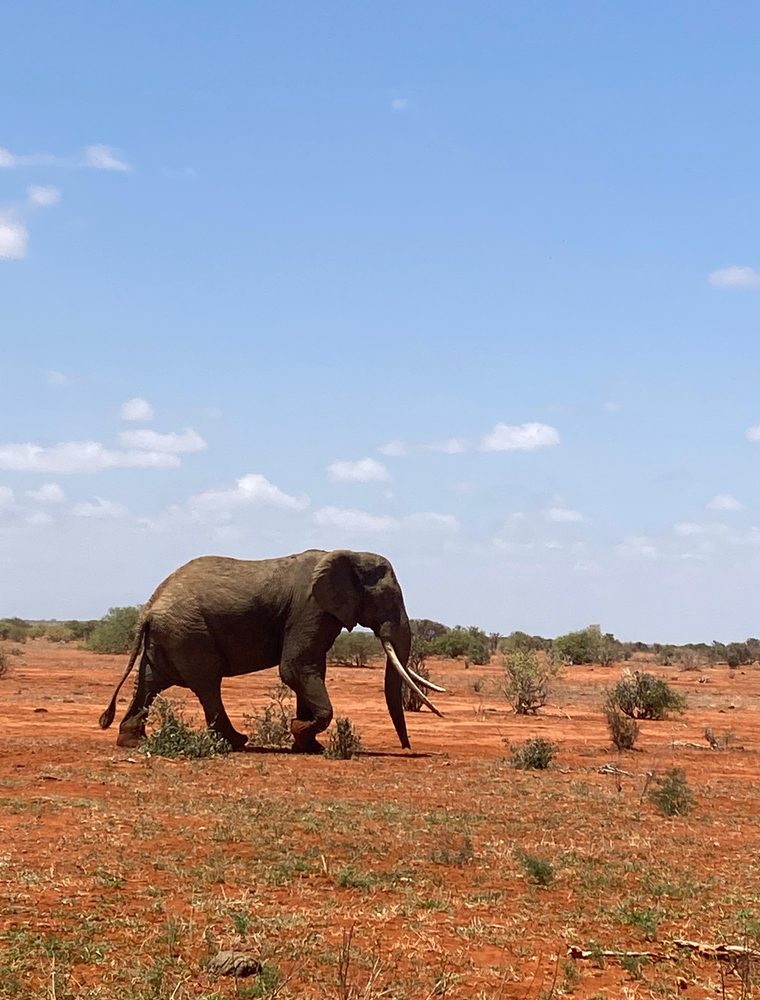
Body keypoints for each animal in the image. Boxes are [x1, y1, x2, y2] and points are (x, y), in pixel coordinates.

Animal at [99, 548, 444, 753]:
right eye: (388, 598)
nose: (407, 749)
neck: (348, 554)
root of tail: (149, 607)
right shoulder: (311, 608)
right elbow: (295, 669)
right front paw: (299, 730)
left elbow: (310, 670)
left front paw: (309, 746)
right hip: (189, 632)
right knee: (208, 684)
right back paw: (237, 742)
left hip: (169, 635)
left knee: (150, 682)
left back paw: (132, 741)